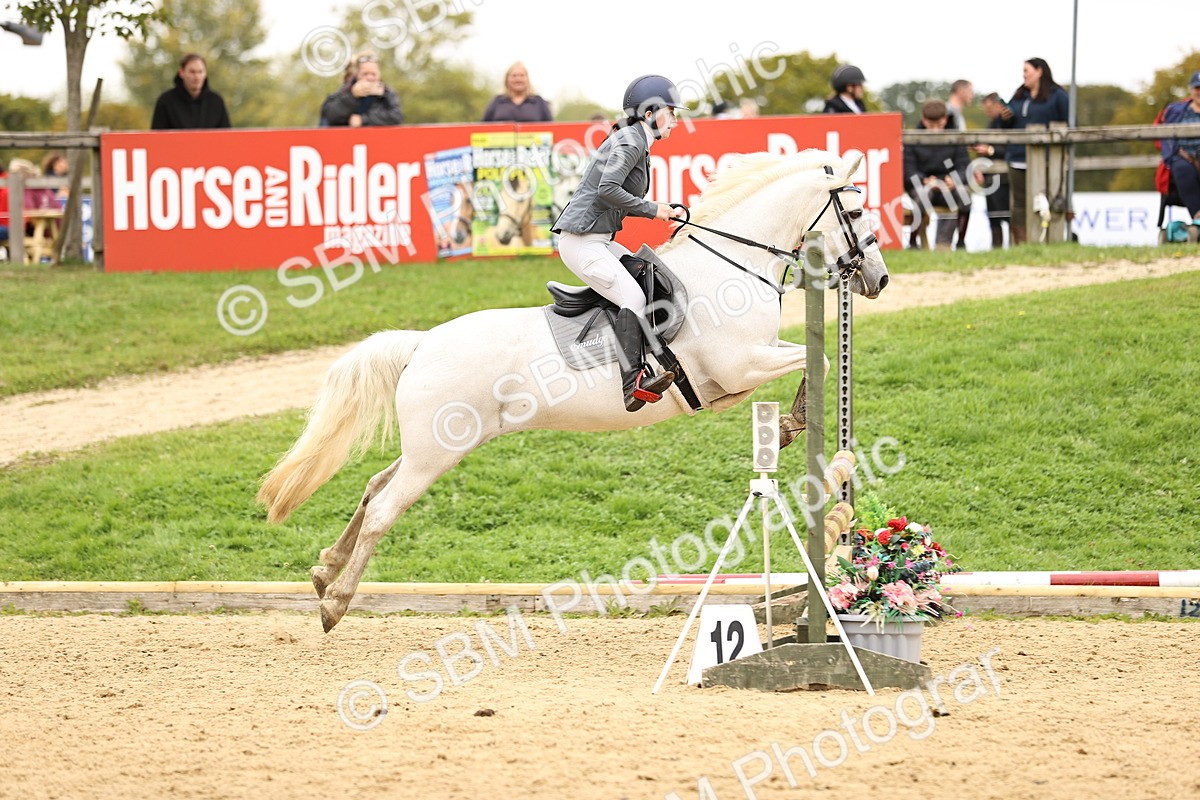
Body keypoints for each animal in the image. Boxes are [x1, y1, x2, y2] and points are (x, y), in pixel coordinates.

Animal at [258, 149, 890, 632]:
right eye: (857, 210)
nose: (879, 279)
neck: (730, 266)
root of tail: (424, 343)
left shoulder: (733, 376)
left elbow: (809, 361)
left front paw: (783, 427)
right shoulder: (741, 365)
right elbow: (819, 357)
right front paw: (792, 423)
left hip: (434, 447)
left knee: (372, 488)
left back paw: (324, 572)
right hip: (435, 454)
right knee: (386, 507)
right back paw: (336, 604)